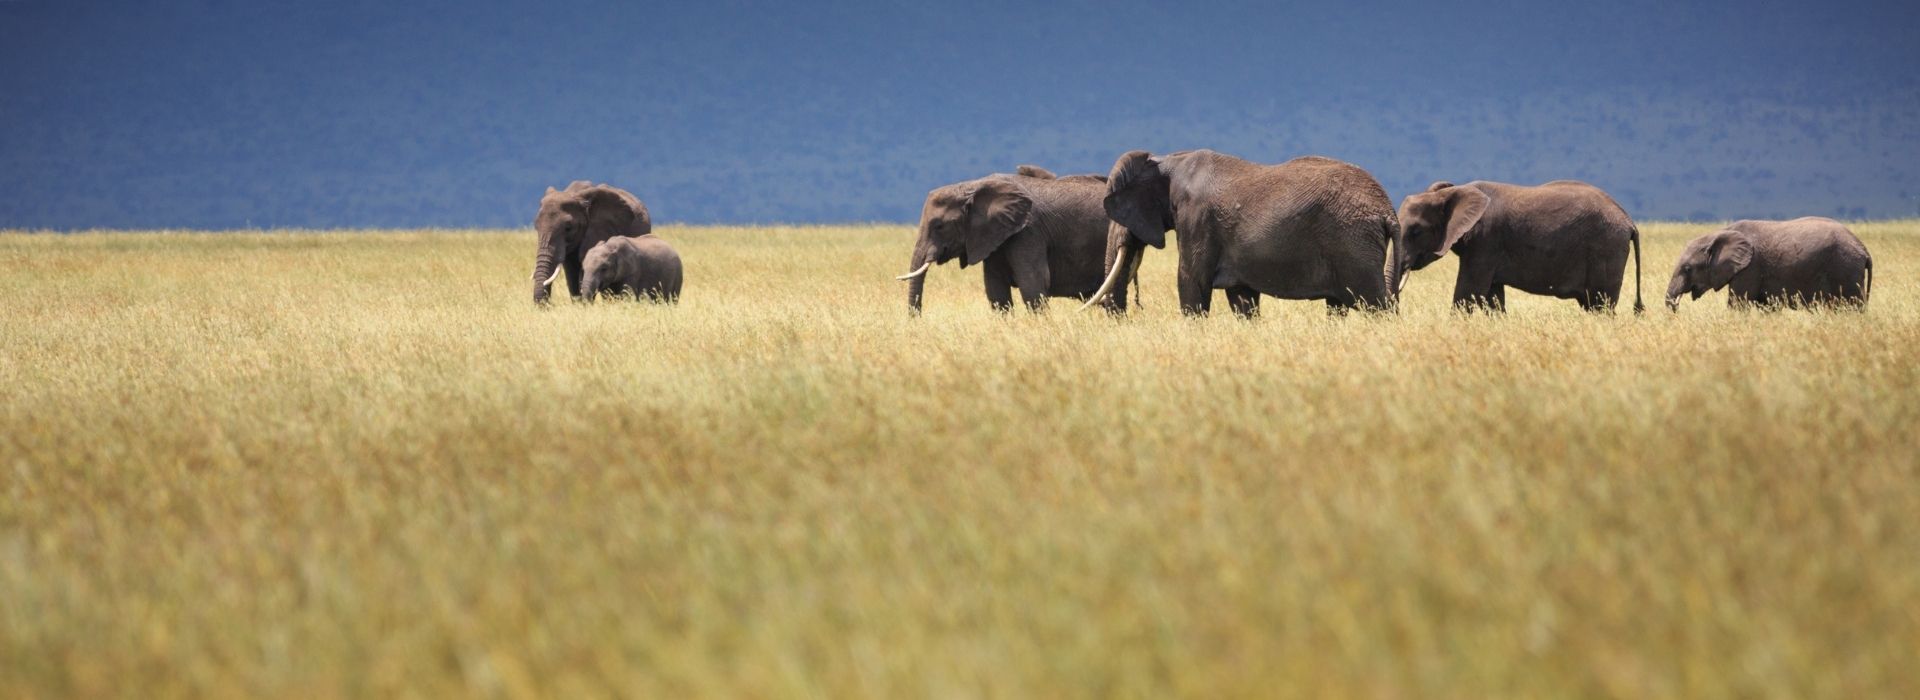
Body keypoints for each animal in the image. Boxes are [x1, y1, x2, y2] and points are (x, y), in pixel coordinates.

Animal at [895, 166, 1116, 314]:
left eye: (939, 226)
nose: (916, 320)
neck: (973, 185)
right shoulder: (993, 235)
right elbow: (995, 290)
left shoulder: (1028, 232)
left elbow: (1033, 284)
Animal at [1084, 149, 1399, 316]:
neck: (1168, 160)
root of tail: (1387, 210)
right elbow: (1242, 298)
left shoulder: (1196, 220)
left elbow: (1191, 282)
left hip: (1352, 243)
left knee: (1376, 304)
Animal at [1395, 180, 1643, 313]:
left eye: (1416, 232)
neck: (1454, 191)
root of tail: (1629, 221)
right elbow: (1492, 297)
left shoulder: (1485, 242)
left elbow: (1468, 293)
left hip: (1606, 249)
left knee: (1601, 305)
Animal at [1665, 217, 1872, 310]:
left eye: (1688, 268)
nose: (1674, 306)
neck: (1719, 233)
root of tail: (1864, 250)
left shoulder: (1749, 268)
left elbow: (1738, 304)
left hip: (1845, 269)